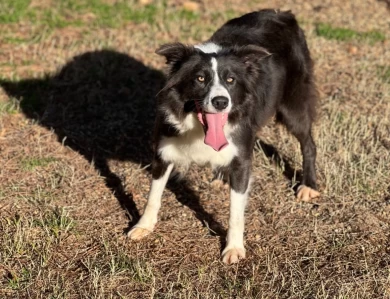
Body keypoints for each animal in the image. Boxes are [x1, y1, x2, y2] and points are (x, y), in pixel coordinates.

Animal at [128, 8, 320, 264]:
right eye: (200, 78)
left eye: (231, 80)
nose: (221, 102)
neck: (198, 128)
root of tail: (284, 13)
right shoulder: (163, 150)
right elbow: (153, 194)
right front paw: (143, 226)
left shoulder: (242, 159)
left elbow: (235, 212)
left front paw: (234, 248)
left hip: (293, 103)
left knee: (308, 142)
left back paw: (308, 184)